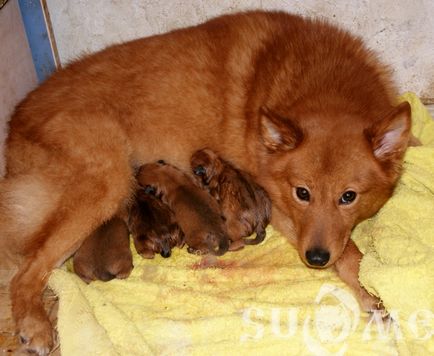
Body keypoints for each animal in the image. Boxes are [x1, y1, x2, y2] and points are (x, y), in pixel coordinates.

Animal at [0, 9, 412, 354]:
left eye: (349, 196)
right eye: (302, 193)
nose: (315, 259)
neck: (321, 83)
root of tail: (18, 119)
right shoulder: (280, 206)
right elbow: (351, 255)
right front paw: (370, 294)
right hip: (107, 182)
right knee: (24, 273)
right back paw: (35, 327)